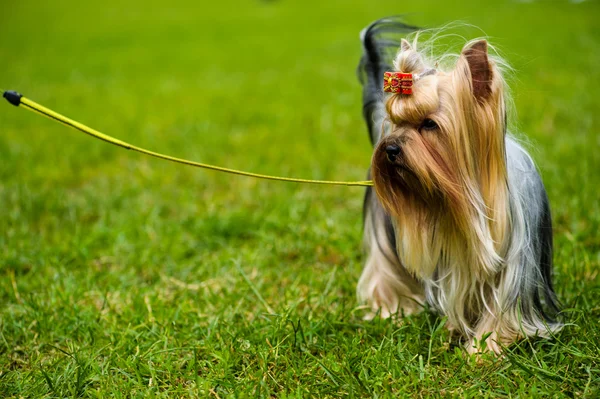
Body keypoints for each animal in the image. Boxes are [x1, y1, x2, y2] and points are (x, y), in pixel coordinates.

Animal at [354, 19, 560, 356]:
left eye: (429, 124)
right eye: (396, 121)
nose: (390, 148)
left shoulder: (515, 265)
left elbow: (501, 309)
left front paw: (485, 347)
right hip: (385, 230)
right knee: (384, 269)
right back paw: (390, 310)